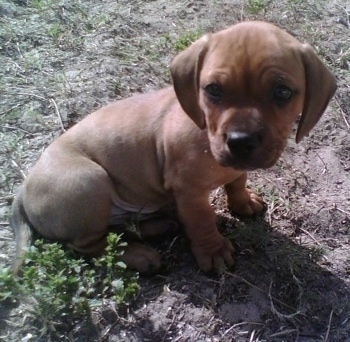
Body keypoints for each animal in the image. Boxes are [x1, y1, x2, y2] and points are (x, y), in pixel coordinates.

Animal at [10, 21, 336, 274]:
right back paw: (139, 254)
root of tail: (22, 191)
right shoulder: (189, 191)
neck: (206, 138)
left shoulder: (232, 169)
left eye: (283, 92)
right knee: (88, 246)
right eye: (213, 90)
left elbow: (237, 181)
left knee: (121, 226)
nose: (240, 141)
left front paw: (242, 201)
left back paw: (160, 226)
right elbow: (203, 220)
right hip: (89, 181)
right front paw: (213, 250)